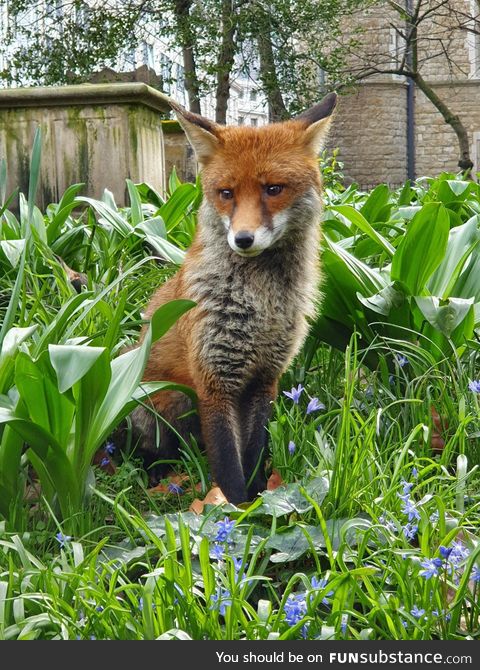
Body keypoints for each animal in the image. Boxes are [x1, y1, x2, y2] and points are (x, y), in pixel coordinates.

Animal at [129, 94, 336, 504]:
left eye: (273, 189)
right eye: (226, 194)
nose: (243, 239)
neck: (261, 303)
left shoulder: (265, 380)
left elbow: (253, 454)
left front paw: (258, 501)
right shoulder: (214, 380)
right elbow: (227, 463)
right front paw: (236, 510)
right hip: (164, 402)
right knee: (150, 450)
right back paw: (157, 473)